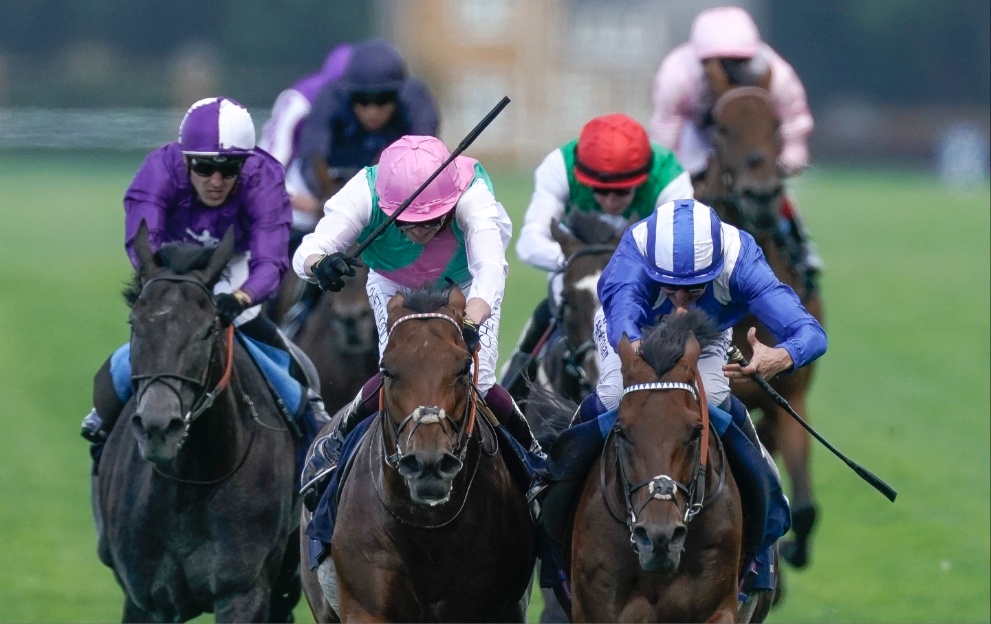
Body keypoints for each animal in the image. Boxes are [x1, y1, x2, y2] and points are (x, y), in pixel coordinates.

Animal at [100, 222, 302, 620]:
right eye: (135, 322)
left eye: (209, 328)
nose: (159, 427)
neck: (191, 479)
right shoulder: (145, 599)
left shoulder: (243, 591)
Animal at [692, 85, 824, 568]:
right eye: (721, 126)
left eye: (777, 124)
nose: (762, 194)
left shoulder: (790, 400)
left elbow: (802, 508)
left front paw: (790, 550)